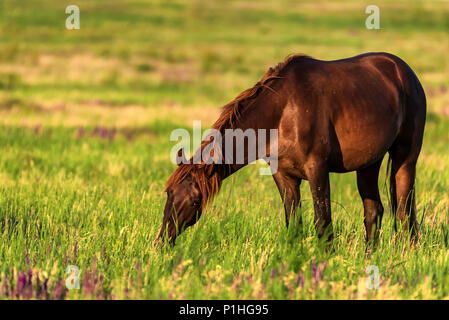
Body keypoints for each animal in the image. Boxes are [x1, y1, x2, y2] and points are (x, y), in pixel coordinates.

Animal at [156, 53, 426, 245]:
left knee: (404, 213)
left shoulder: (318, 170)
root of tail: (405, 72)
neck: (285, 111)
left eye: (194, 201)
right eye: (169, 195)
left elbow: (323, 223)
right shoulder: (284, 176)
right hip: (369, 164)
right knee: (374, 211)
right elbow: (294, 225)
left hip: (405, 160)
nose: (162, 241)